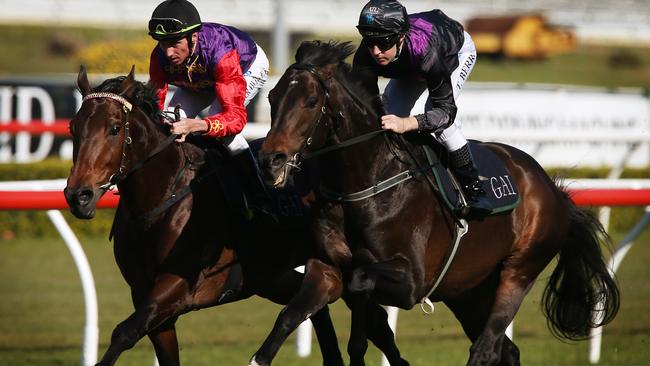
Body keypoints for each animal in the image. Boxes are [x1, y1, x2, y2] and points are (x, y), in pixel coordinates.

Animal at [64, 66, 354, 366]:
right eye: (73, 127)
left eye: (114, 128)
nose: (79, 195)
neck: (162, 198)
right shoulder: (143, 293)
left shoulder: (178, 285)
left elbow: (124, 331)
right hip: (268, 276)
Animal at [252, 40, 616, 366]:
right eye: (271, 97)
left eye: (312, 101)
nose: (271, 161)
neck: (365, 183)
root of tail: (552, 189)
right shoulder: (325, 269)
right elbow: (288, 316)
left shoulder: (412, 282)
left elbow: (360, 284)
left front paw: (362, 347)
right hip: (468, 288)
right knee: (507, 351)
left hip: (519, 271)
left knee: (485, 349)